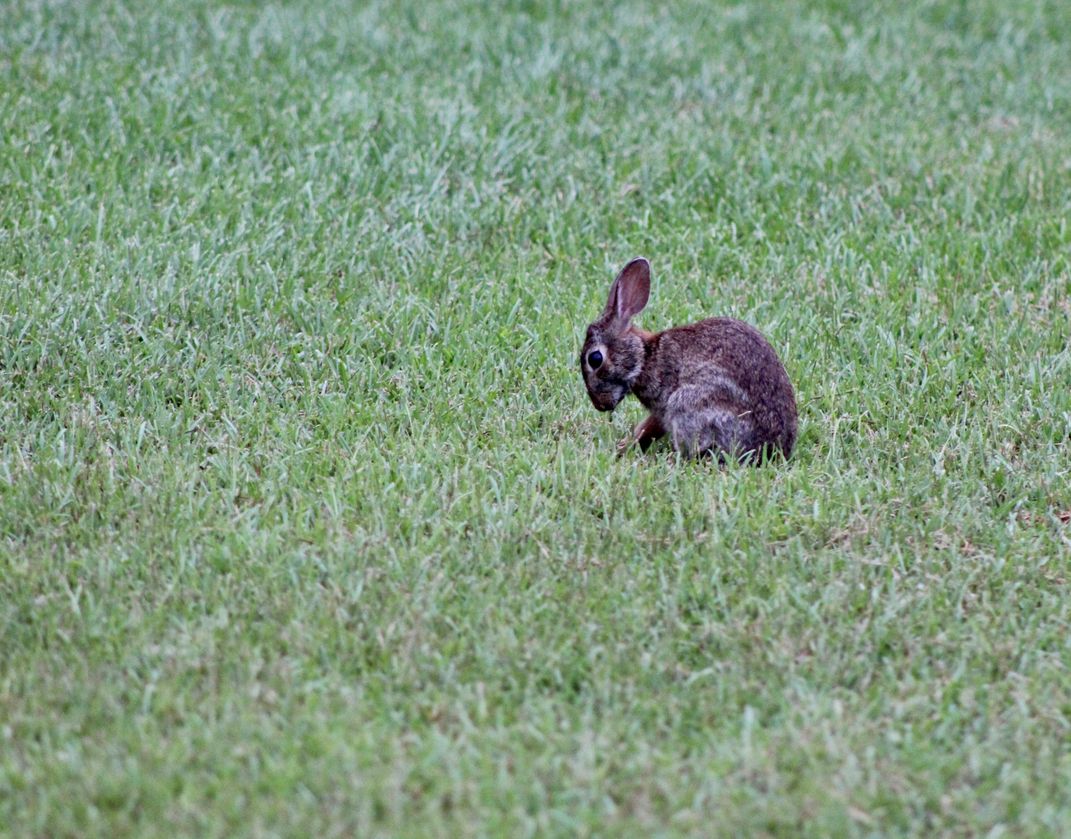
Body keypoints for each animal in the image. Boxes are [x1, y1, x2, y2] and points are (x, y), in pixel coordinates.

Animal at [580, 257, 797, 463]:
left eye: (595, 359)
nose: (600, 405)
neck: (645, 356)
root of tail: (772, 450)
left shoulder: (663, 404)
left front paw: (624, 448)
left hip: (689, 403)